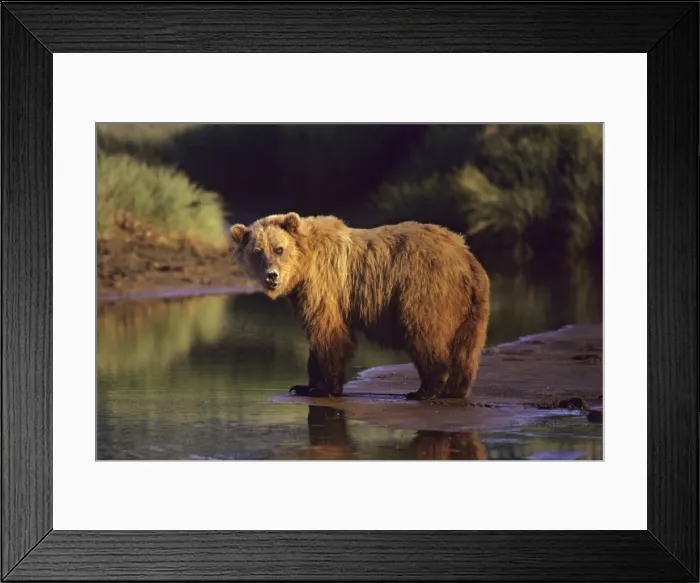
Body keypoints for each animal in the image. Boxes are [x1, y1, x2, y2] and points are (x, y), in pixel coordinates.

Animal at [229, 212, 490, 401]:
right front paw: (304, 385)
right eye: (258, 252)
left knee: (425, 332)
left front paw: (326, 387)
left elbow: (328, 333)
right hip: (471, 306)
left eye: (279, 249)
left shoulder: (325, 285)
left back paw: (424, 390)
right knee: (466, 348)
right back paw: (456, 389)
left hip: (426, 288)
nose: (271, 276)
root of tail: (466, 257)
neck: (304, 267)